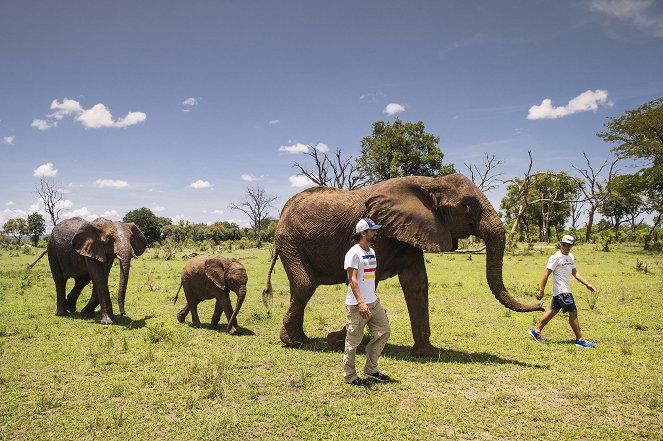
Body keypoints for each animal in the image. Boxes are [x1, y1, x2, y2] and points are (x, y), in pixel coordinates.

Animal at [264, 174, 544, 356]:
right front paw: (337, 341)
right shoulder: (378, 233)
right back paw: (293, 342)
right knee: (305, 284)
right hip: (290, 240)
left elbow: (417, 284)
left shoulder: (415, 230)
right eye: (466, 206)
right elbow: (369, 280)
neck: (429, 183)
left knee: (301, 287)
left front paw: (427, 354)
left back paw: (301, 339)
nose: (541, 303)